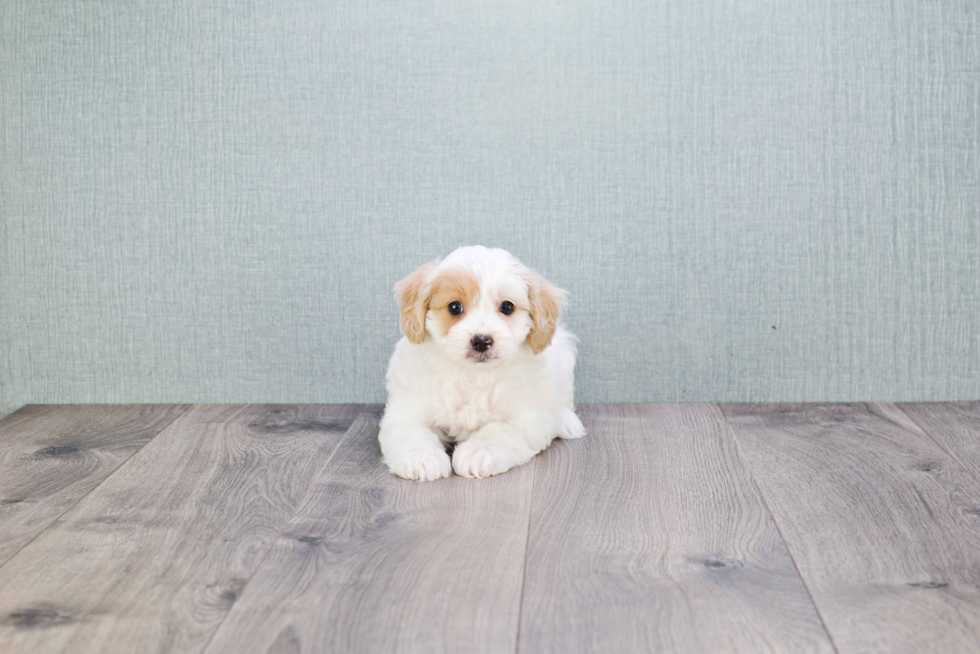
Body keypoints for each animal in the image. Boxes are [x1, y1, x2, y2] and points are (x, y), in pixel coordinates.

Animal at [378, 246, 584, 482]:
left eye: (507, 307)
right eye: (455, 307)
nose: (481, 340)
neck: (473, 374)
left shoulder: (526, 419)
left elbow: (498, 431)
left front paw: (478, 453)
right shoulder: (407, 408)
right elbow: (411, 430)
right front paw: (421, 459)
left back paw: (567, 422)